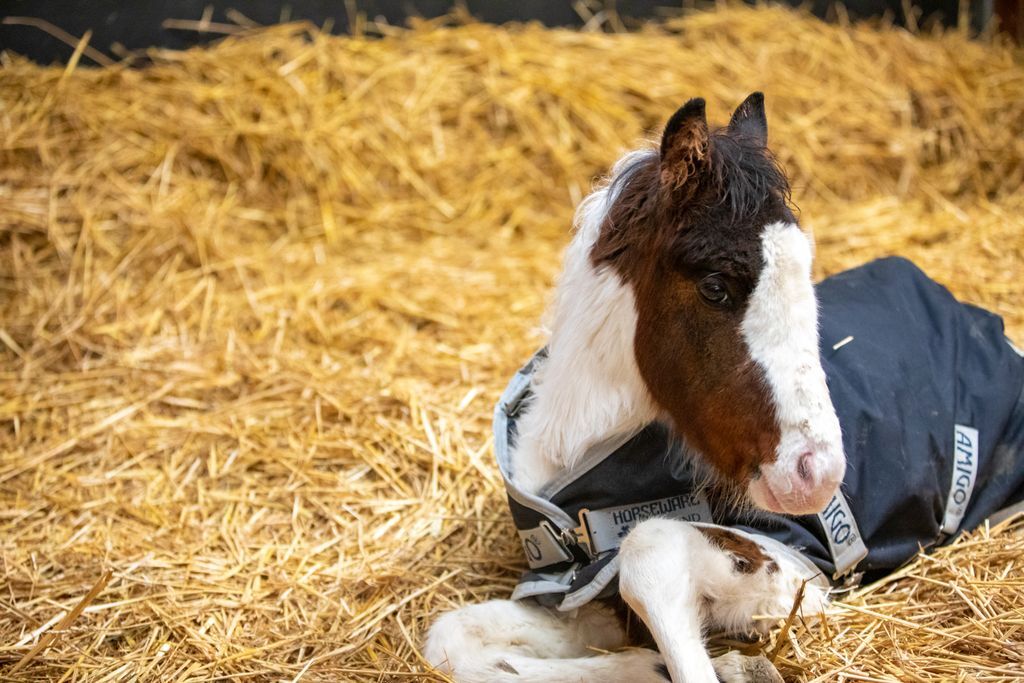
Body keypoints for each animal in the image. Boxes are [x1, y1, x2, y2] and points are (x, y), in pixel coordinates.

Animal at [425, 96, 847, 683]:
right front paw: (645, 665)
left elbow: (645, 547)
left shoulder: (799, 570)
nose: (817, 473)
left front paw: (738, 666)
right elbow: (454, 639)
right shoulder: (577, 594)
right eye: (715, 286)